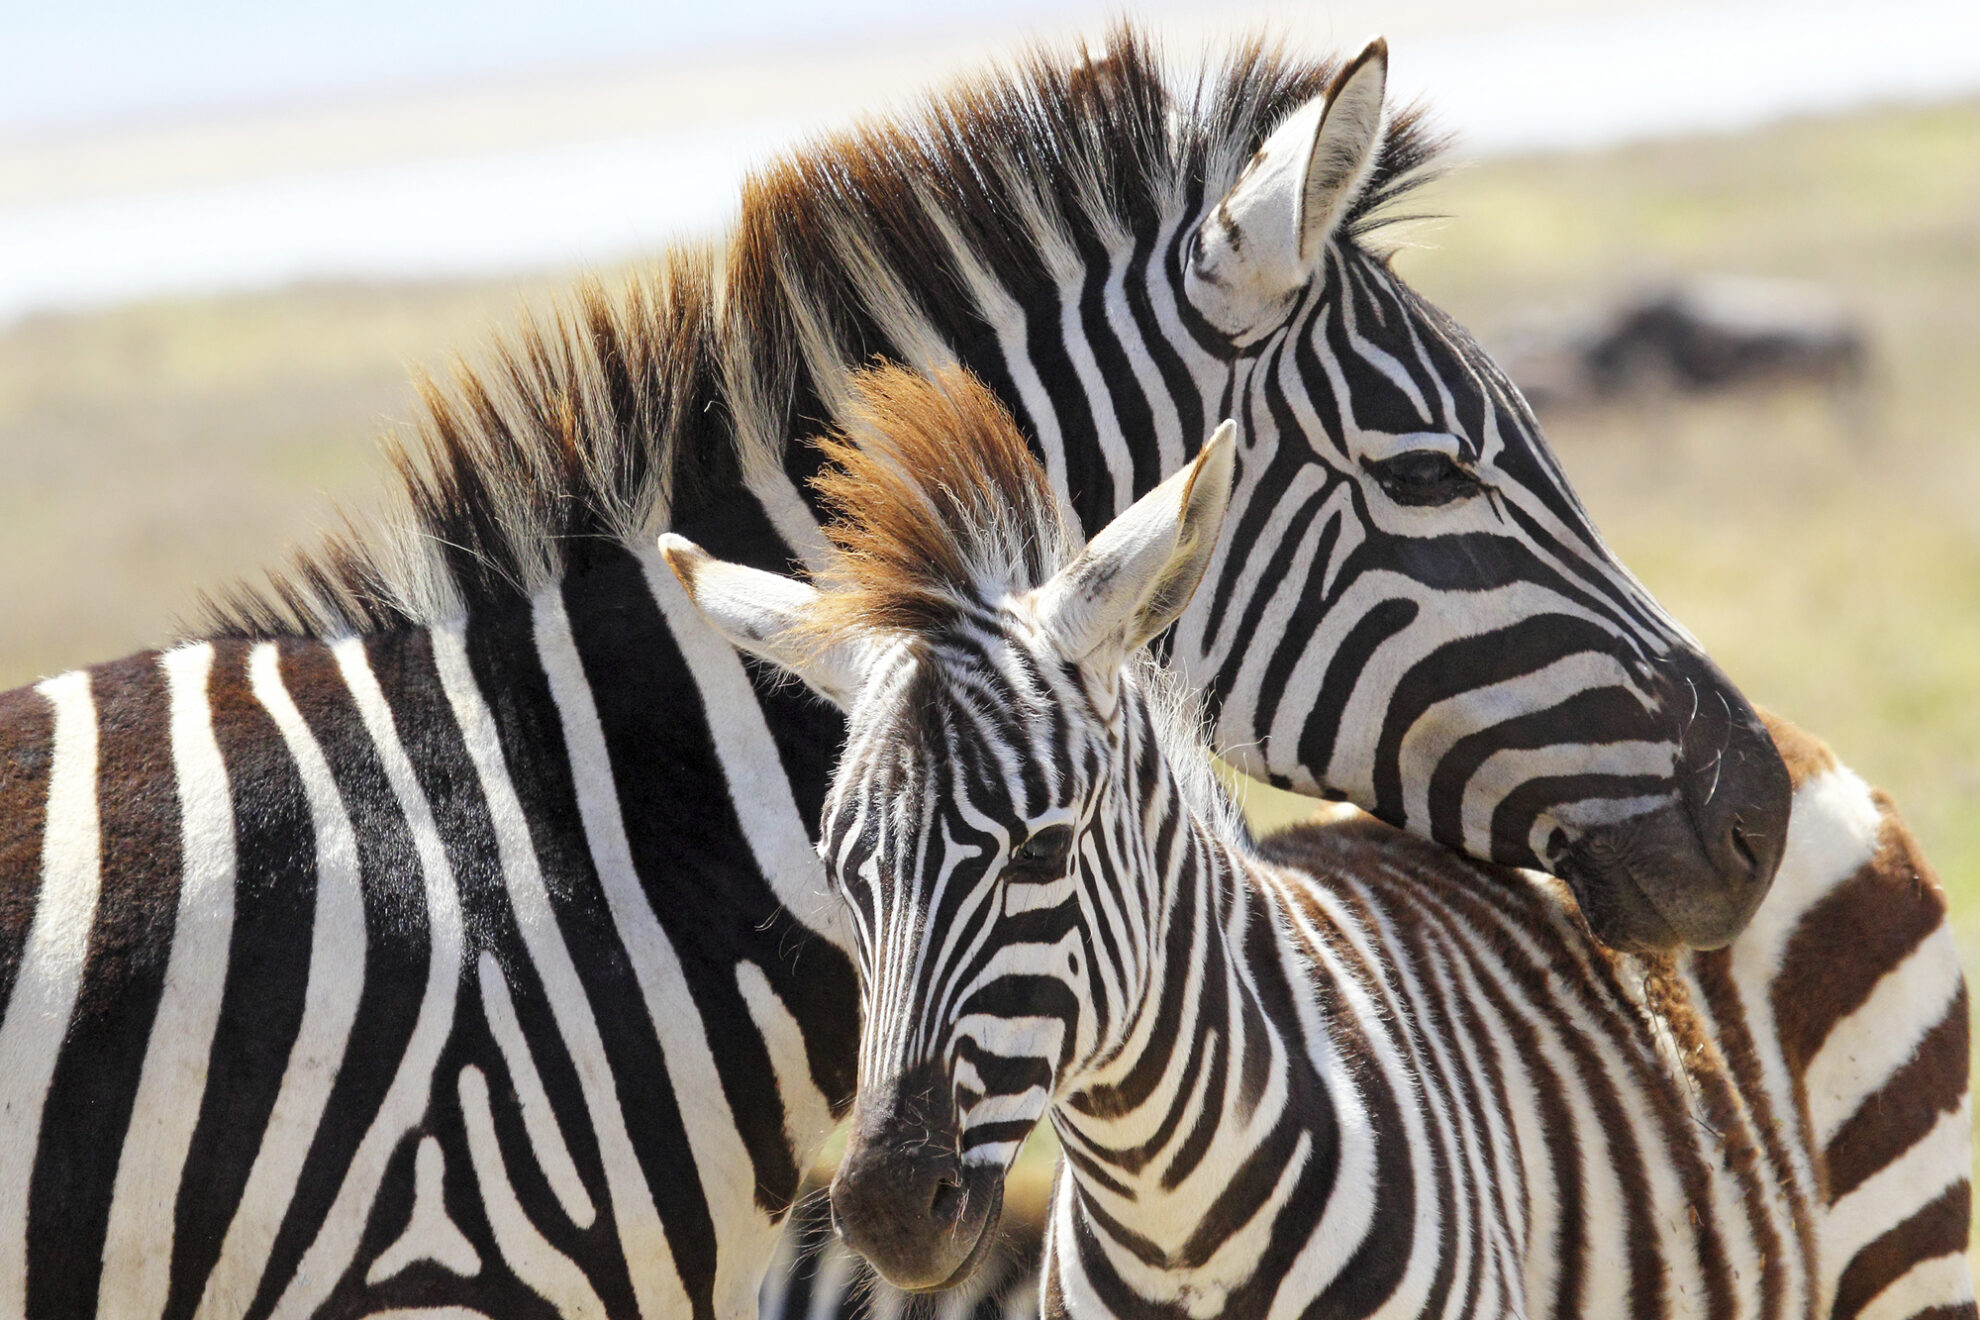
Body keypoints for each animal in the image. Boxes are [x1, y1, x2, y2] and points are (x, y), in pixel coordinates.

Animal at [666, 371, 1975, 1320]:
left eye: (1039, 854)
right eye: (845, 881)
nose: (889, 1211)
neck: (1169, 1217)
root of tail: (1798, 746)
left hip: (1913, 1246)